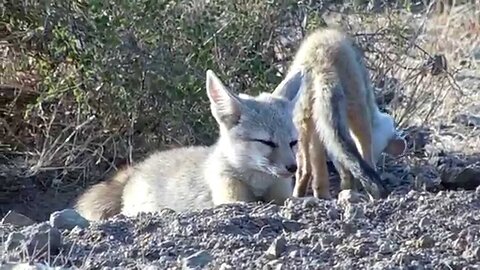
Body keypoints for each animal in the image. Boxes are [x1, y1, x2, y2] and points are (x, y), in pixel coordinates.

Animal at [73, 68, 302, 220]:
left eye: (293, 142)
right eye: (267, 142)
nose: (293, 167)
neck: (259, 184)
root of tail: (138, 168)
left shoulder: (282, 193)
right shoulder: (229, 197)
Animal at [274, 27, 404, 200]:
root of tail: (321, 62)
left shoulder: (320, 127)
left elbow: (319, 163)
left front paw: (323, 191)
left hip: (301, 118)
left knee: (304, 168)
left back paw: (303, 193)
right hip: (356, 110)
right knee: (363, 153)